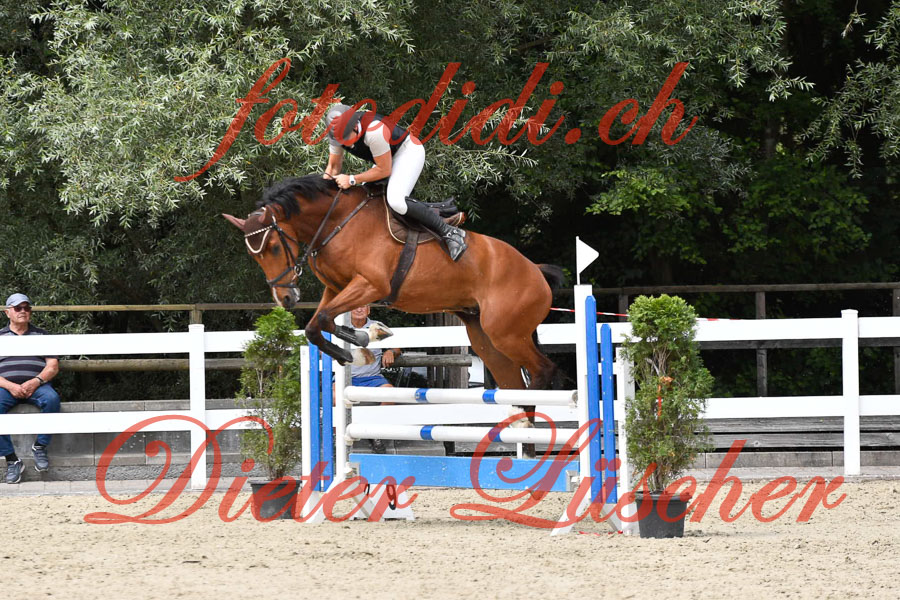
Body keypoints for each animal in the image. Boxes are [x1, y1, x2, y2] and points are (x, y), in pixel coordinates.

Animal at [223, 174, 564, 392]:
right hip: (486, 339)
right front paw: (354, 343)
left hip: (506, 333)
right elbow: (316, 325)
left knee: (543, 370)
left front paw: (358, 343)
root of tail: (535, 271)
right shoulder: (336, 288)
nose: (285, 298)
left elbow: (322, 320)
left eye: (274, 247)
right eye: (254, 255)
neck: (337, 222)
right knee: (512, 381)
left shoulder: (371, 286)